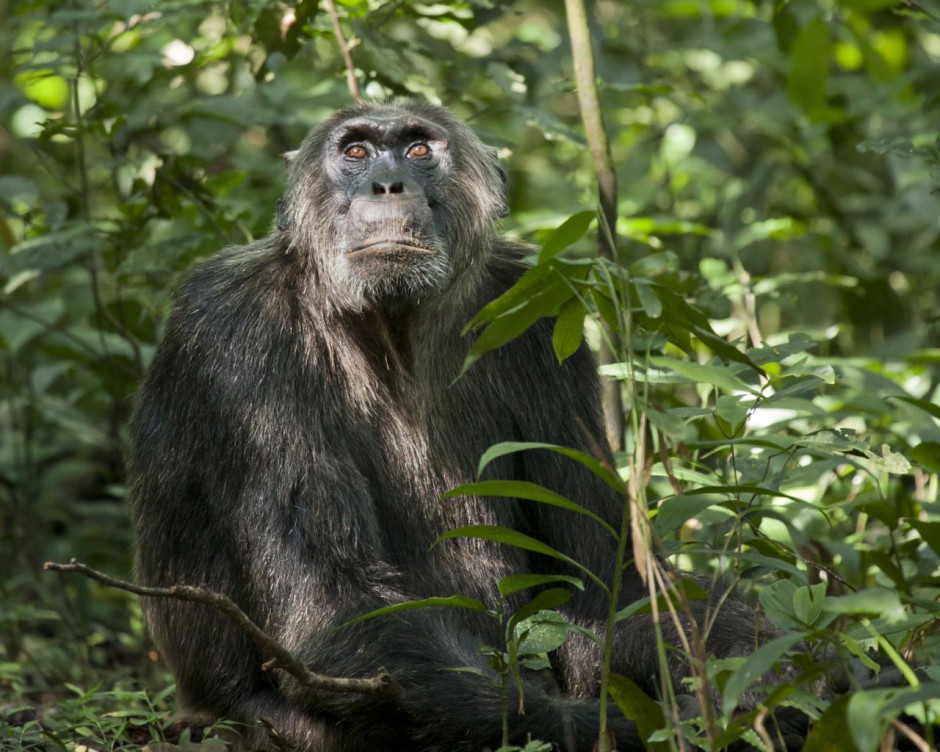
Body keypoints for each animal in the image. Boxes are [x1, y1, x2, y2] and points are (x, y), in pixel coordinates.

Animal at [130, 101, 780, 752]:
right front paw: (626, 727)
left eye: (419, 149)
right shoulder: (238, 339)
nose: (387, 183)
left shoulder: (540, 315)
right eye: (356, 152)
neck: (391, 326)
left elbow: (606, 579)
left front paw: (766, 673)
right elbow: (330, 608)